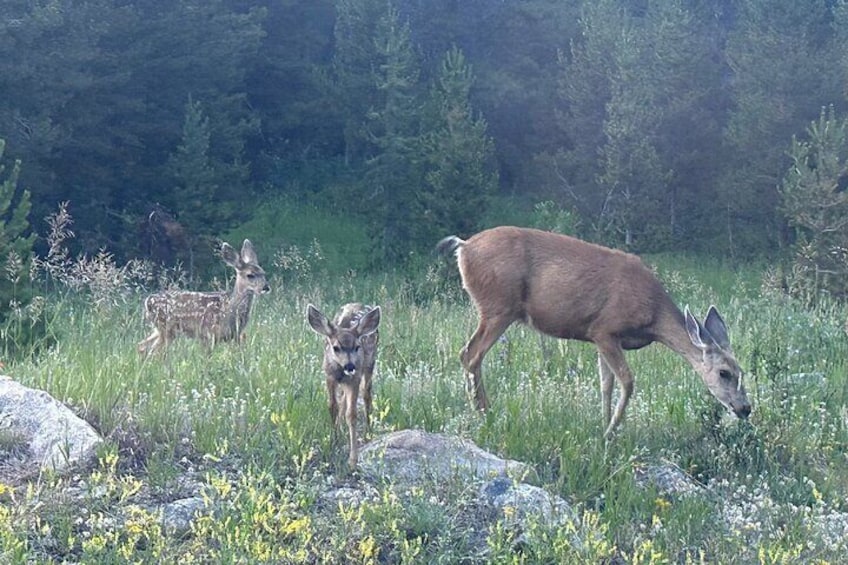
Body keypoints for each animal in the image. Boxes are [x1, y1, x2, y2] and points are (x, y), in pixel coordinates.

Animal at [137, 239, 270, 356]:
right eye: (250, 275)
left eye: (264, 273)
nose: (266, 287)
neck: (230, 309)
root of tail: (147, 301)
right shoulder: (208, 334)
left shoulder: (234, 336)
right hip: (166, 328)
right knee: (154, 352)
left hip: (160, 329)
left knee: (142, 346)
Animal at [307, 302, 381, 467]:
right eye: (336, 347)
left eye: (357, 347)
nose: (350, 366)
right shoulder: (329, 377)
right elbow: (332, 406)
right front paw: (334, 441)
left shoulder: (354, 379)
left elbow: (351, 414)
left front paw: (353, 460)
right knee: (342, 401)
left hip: (369, 364)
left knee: (367, 394)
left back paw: (368, 432)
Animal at [437, 226, 752, 438]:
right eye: (724, 373)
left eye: (742, 371)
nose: (746, 408)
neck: (653, 316)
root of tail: (464, 246)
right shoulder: (605, 329)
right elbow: (627, 381)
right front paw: (610, 432)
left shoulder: (601, 340)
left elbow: (605, 384)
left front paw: (602, 424)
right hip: (499, 307)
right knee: (470, 354)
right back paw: (485, 412)